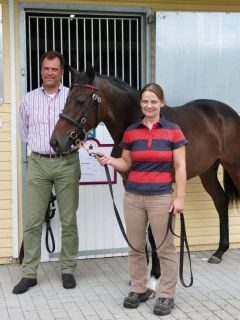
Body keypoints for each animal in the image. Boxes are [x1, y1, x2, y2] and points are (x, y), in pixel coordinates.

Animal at [49, 66, 240, 294]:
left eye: (80, 101)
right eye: (67, 99)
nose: (55, 142)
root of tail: (228, 113)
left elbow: (152, 232)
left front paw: (154, 277)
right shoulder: (131, 183)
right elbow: (140, 229)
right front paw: (139, 275)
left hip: (234, 166)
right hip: (208, 171)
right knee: (221, 201)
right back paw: (219, 251)